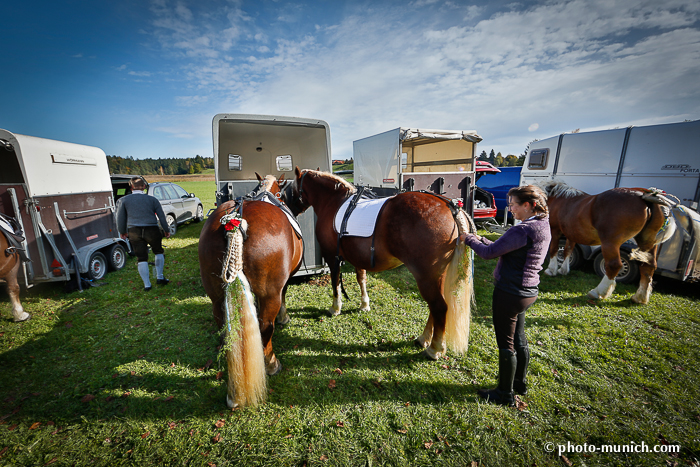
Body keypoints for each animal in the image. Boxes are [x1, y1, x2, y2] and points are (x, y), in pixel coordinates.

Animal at [200, 174, 304, 408]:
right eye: (282, 192)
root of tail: (236, 222)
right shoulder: (282, 284)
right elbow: (283, 297)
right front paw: (284, 317)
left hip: (216, 298)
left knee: (223, 326)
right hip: (270, 293)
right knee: (266, 327)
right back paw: (272, 363)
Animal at [284, 168, 476, 362]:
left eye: (292, 187)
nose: (289, 208)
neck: (333, 202)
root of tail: (450, 207)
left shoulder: (332, 257)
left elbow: (335, 282)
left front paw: (335, 308)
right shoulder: (358, 257)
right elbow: (361, 279)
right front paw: (364, 305)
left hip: (426, 278)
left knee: (439, 307)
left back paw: (434, 348)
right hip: (437, 276)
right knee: (435, 308)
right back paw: (424, 339)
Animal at [540, 181, 676, 306]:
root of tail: (644, 195)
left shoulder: (554, 230)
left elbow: (554, 250)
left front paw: (551, 270)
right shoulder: (571, 234)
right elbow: (567, 250)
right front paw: (563, 270)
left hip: (610, 243)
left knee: (614, 265)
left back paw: (598, 292)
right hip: (647, 243)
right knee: (648, 266)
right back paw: (639, 297)